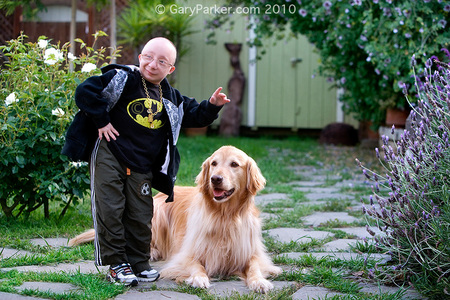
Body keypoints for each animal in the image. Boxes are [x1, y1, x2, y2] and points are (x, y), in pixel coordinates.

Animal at [69, 145, 282, 292]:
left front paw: (259, 282)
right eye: (214, 163)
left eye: (234, 164)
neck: (224, 216)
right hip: (156, 214)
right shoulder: (186, 254)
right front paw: (199, 278)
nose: (215, 179)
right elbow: (196, 265)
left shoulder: (252, 252)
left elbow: (255, 266)